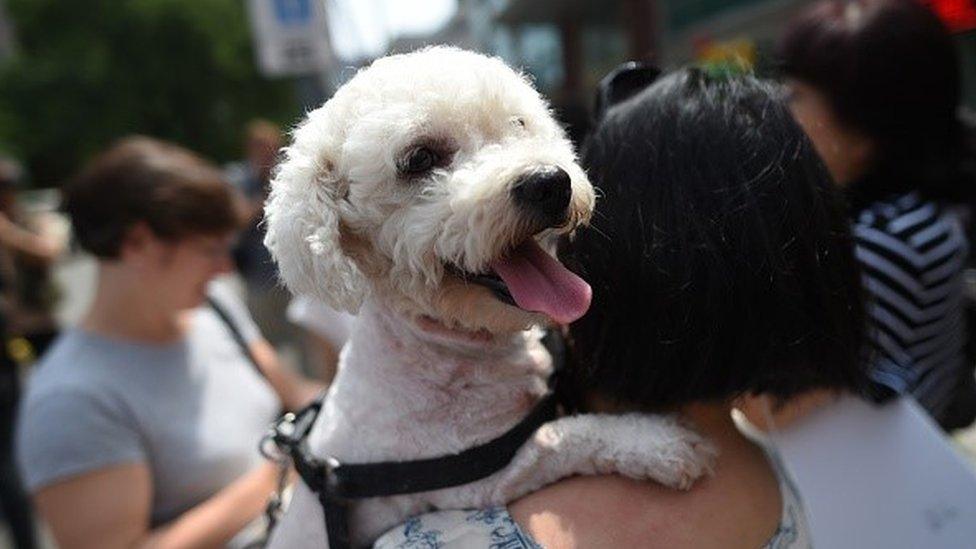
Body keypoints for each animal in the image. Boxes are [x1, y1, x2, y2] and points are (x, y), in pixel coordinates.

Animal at [264, 48, 712, 548]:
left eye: (518, 124)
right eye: (419, 159)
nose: (548, 182)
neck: (446, 348)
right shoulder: (486, 480)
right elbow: (569, 435)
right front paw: (654, 442)